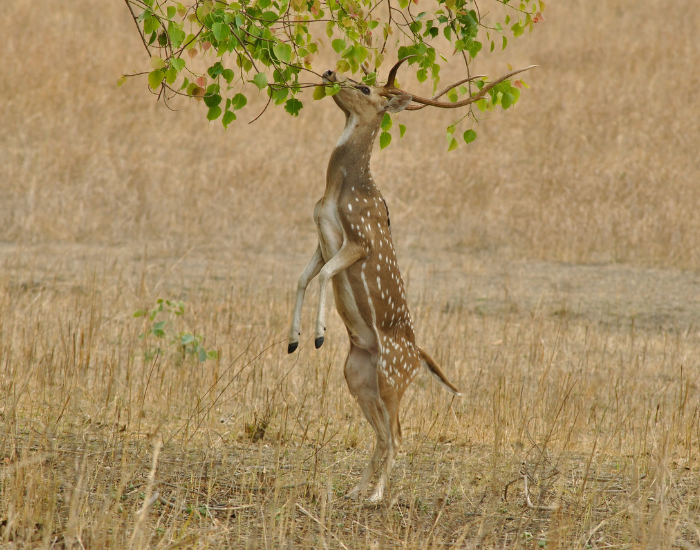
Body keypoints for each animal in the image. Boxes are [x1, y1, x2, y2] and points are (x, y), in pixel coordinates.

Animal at [287, 56, 534, 502]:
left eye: (365, 88)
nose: (330, 73)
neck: (336, 193)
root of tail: (418, 356)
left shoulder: (359, 240)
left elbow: (325, 276)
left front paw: (318, 335)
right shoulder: (320, 239)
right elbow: (302, 277)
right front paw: (293, 340)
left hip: (392, 376)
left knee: (400, 436)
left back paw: (376, 496)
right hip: (358, 374)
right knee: (384, 435)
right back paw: (356, 492)